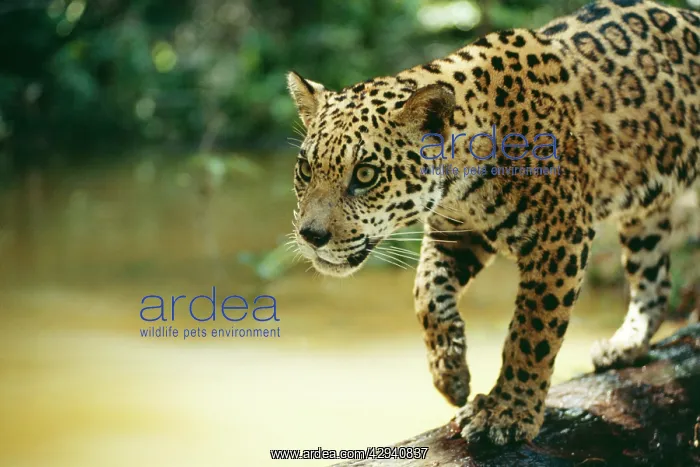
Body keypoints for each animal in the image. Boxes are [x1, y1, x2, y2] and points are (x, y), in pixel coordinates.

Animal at [286, 0, 700, 445]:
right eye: (306, 169)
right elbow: (426, 293)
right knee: (654, 280)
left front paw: (508, 412)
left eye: (365, 174)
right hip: (646, 217)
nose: (311, 236)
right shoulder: (456, 231)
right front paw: (450, 374)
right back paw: (626, 345)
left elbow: (532, 331)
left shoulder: (560, 238)